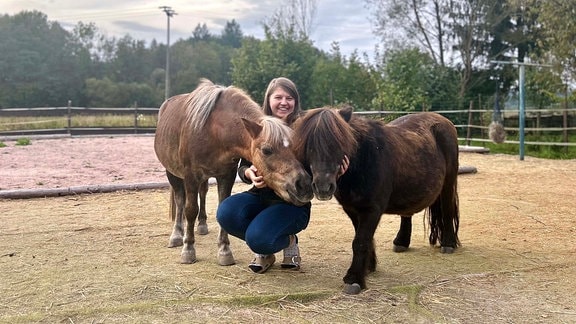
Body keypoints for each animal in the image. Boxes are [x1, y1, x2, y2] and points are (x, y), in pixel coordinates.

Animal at [155, 79, 312, 266]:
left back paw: (202, 225)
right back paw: (177, 235)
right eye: (267, 150)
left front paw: (224, 251)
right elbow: (190, 210)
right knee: (180, 201)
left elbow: (221, 207)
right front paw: (188, 249)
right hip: (172, 173)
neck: (213, 131)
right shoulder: (190, 176)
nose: (303, 185)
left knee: (203, 193)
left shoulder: (226, 175)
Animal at [292, 105, 460, 294]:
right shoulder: (352, 209)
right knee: (407, 214)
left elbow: (360, 241)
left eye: (339, 144)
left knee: (447, 209)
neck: (364, 160)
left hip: (448, 183)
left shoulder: (372, 210)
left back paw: (448, 244)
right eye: (309, 146)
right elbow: (362, 237)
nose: (323, 187)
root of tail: (443, 120)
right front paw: (368, 267)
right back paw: (401, 242)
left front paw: (354, 279)